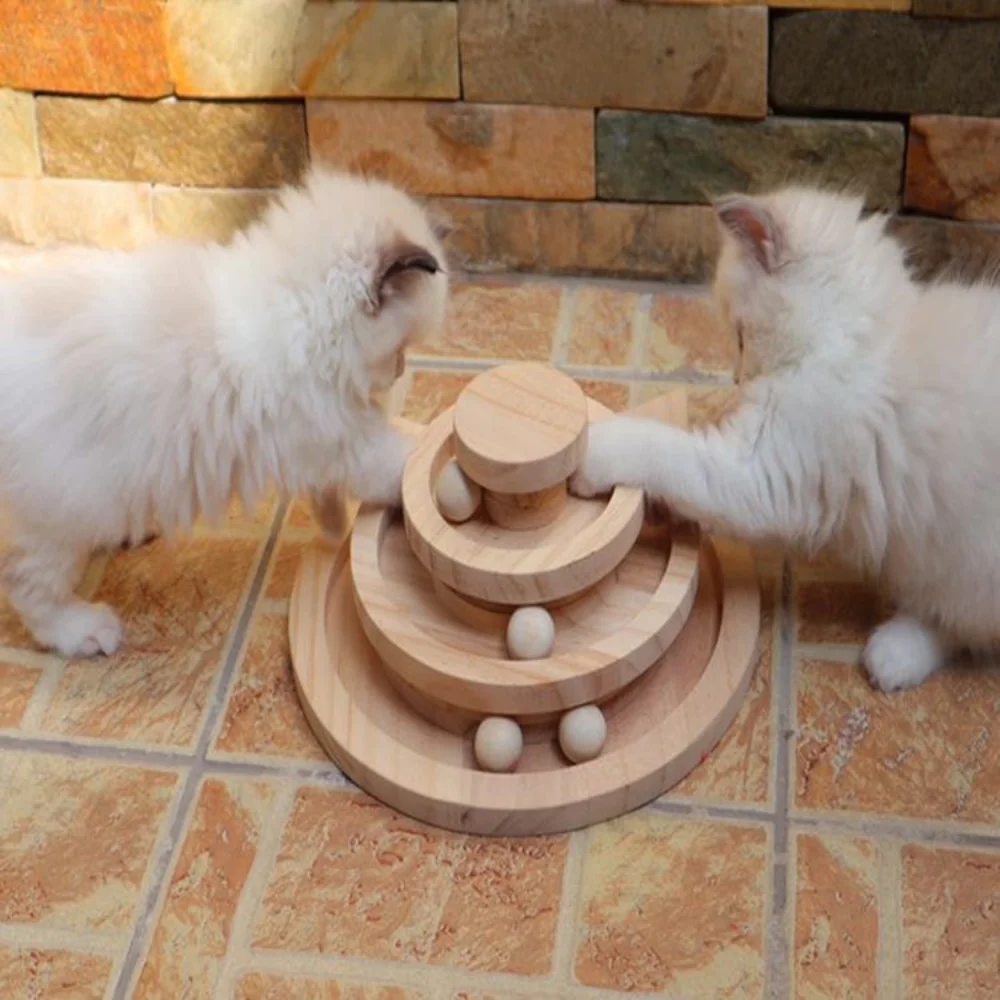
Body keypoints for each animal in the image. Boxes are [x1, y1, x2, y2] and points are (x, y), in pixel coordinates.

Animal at [0, 169, 446, 660]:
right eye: (399, 351)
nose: (401, 370)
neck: (297, 313)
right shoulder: (342, 440)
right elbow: (404, 462)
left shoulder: (325, 442)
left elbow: (329, 498)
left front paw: (333, 529)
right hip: (61, 512)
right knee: (27, 586)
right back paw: (83, 630)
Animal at [572, 184, 1000, 692]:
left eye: (740, 337)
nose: (737, 379)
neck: (862, 335)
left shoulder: (761, 472)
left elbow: (660, 449)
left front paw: (593, 450)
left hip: (966, 564)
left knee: (957, 625)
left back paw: (894, 654)